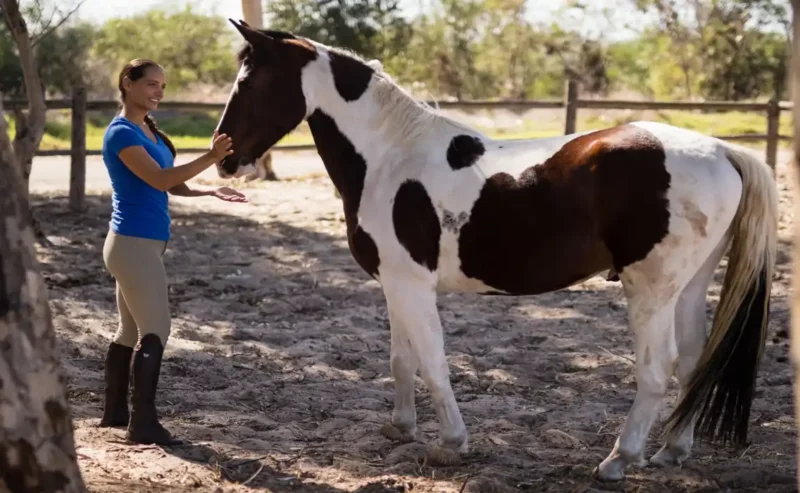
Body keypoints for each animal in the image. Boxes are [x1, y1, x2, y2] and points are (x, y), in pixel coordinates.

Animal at [214, 19, 778, 481]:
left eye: (249, 82)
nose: (224, 160)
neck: (390, 156)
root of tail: (723, 150)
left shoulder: (411, 285)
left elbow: (433, 361)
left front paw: (450, 444)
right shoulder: (395, 284)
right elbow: (402, 359)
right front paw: (400, 428)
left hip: (651, 290)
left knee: (658, 369)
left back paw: (620, 459)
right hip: (689, 286)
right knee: (693, 361)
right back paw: (671, 451)